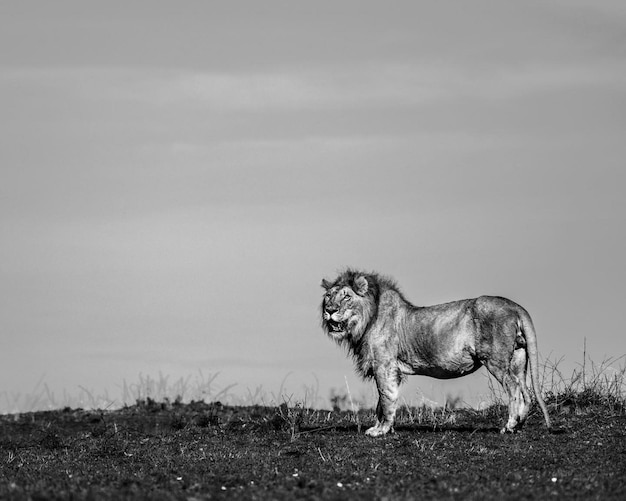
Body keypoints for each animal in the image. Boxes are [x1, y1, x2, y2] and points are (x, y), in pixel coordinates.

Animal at [320, 268, 548, 436]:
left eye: (346, 297)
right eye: (328, 297)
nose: (329, 310)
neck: (364, 321)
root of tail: (515, 306)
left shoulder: (384, 365)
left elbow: (386, 398)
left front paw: (381, 431)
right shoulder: (390, 368)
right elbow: (381, 402)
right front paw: (381, 427)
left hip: (495, 360)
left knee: (514, 388)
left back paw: (509, 426)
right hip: (518, 359)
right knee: (525, 390)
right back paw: (519, 425)